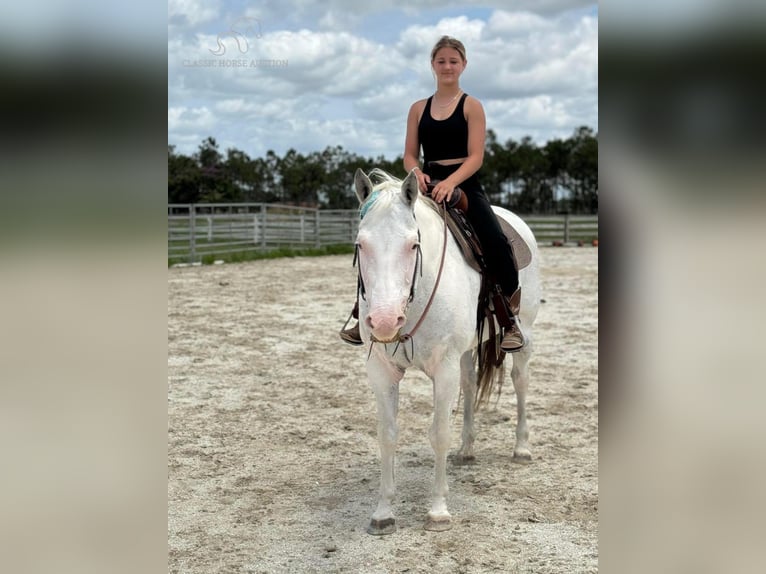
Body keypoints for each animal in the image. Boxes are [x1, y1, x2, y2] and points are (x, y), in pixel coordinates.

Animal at [356, 168, 544, 536]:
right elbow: (387, 436)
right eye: (360, 244)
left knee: (520, 382)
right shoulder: (382, 371)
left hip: (524, 333)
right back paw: (467, 449)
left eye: (413, 244)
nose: (385, 321)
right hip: (466, 352)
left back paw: (521, 448)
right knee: (470, 385)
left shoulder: (443, 370)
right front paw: (383, 512)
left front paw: (438, 511)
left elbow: (439, 434)